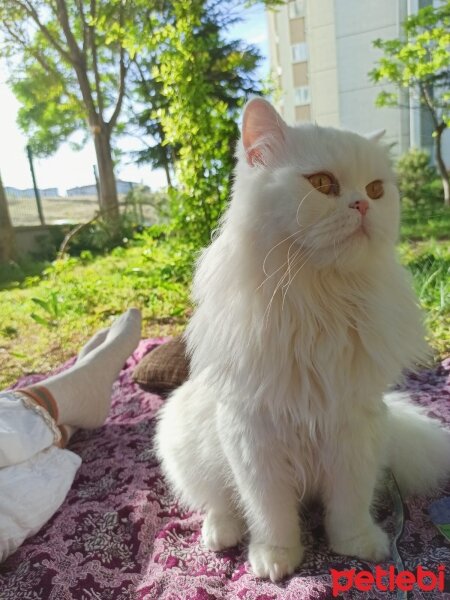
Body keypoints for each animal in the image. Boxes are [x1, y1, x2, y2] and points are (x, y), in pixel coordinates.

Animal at [155, 97, 450, 580]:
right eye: (323, 184)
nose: (361, 206)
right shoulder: (254, 436)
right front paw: (276, 560)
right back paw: (221, 535)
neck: (319, 303)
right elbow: (269, 511)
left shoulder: (353, 427)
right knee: (218, 504)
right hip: (182, 438)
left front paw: (359, 546)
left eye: (375, 190)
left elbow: (349, 503)